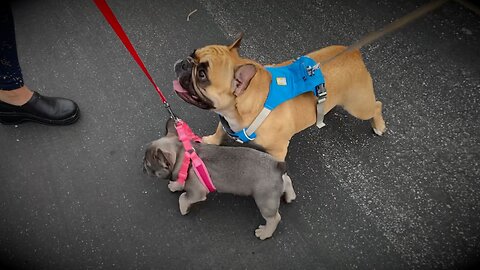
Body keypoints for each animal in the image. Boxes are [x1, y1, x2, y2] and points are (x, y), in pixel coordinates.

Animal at [142, 119, 296, 239]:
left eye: (149, 165)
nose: (142, 167)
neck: (183, 155)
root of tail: (277, 166)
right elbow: (180, 182)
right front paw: (175, 185)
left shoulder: (197, 192)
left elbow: (183, 198)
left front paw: (184, 208)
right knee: (287, 180)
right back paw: (290, 196)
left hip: (265, 200)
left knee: (274, 218)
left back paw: (265, 233)